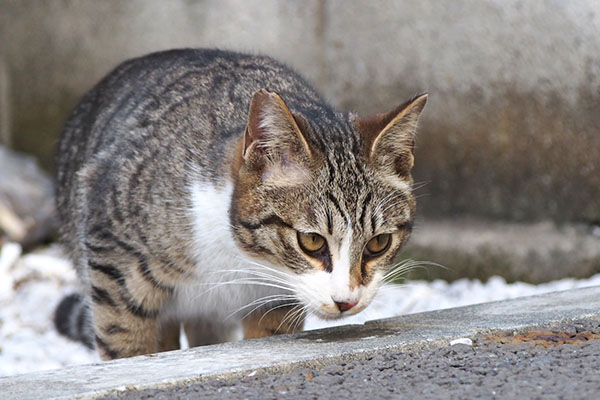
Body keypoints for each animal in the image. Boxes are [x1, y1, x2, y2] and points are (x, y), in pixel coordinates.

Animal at [52, 47, 426, 360]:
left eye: (379, 243)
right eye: (311, 240)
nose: (346, 301)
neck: (236, 255)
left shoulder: (275, 297)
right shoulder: (113, 250)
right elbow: (124, 339)